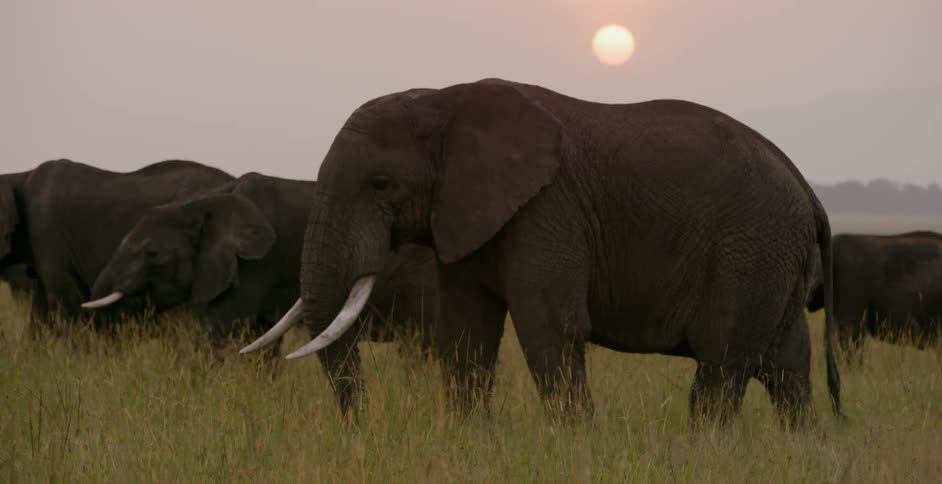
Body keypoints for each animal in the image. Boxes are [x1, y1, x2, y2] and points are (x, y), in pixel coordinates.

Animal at [246, 78, 842, 428]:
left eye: (381, 184)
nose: (363, 425)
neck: (443, 99)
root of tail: (807, 190)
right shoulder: (467, 215)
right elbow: (465, 335)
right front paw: (470, 443)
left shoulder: (547, 210)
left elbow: (548, 330)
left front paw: (575, 447)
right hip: (775, 258)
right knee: (787, 368)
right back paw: (802, 450)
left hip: (751, 250)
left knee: (723, 365)